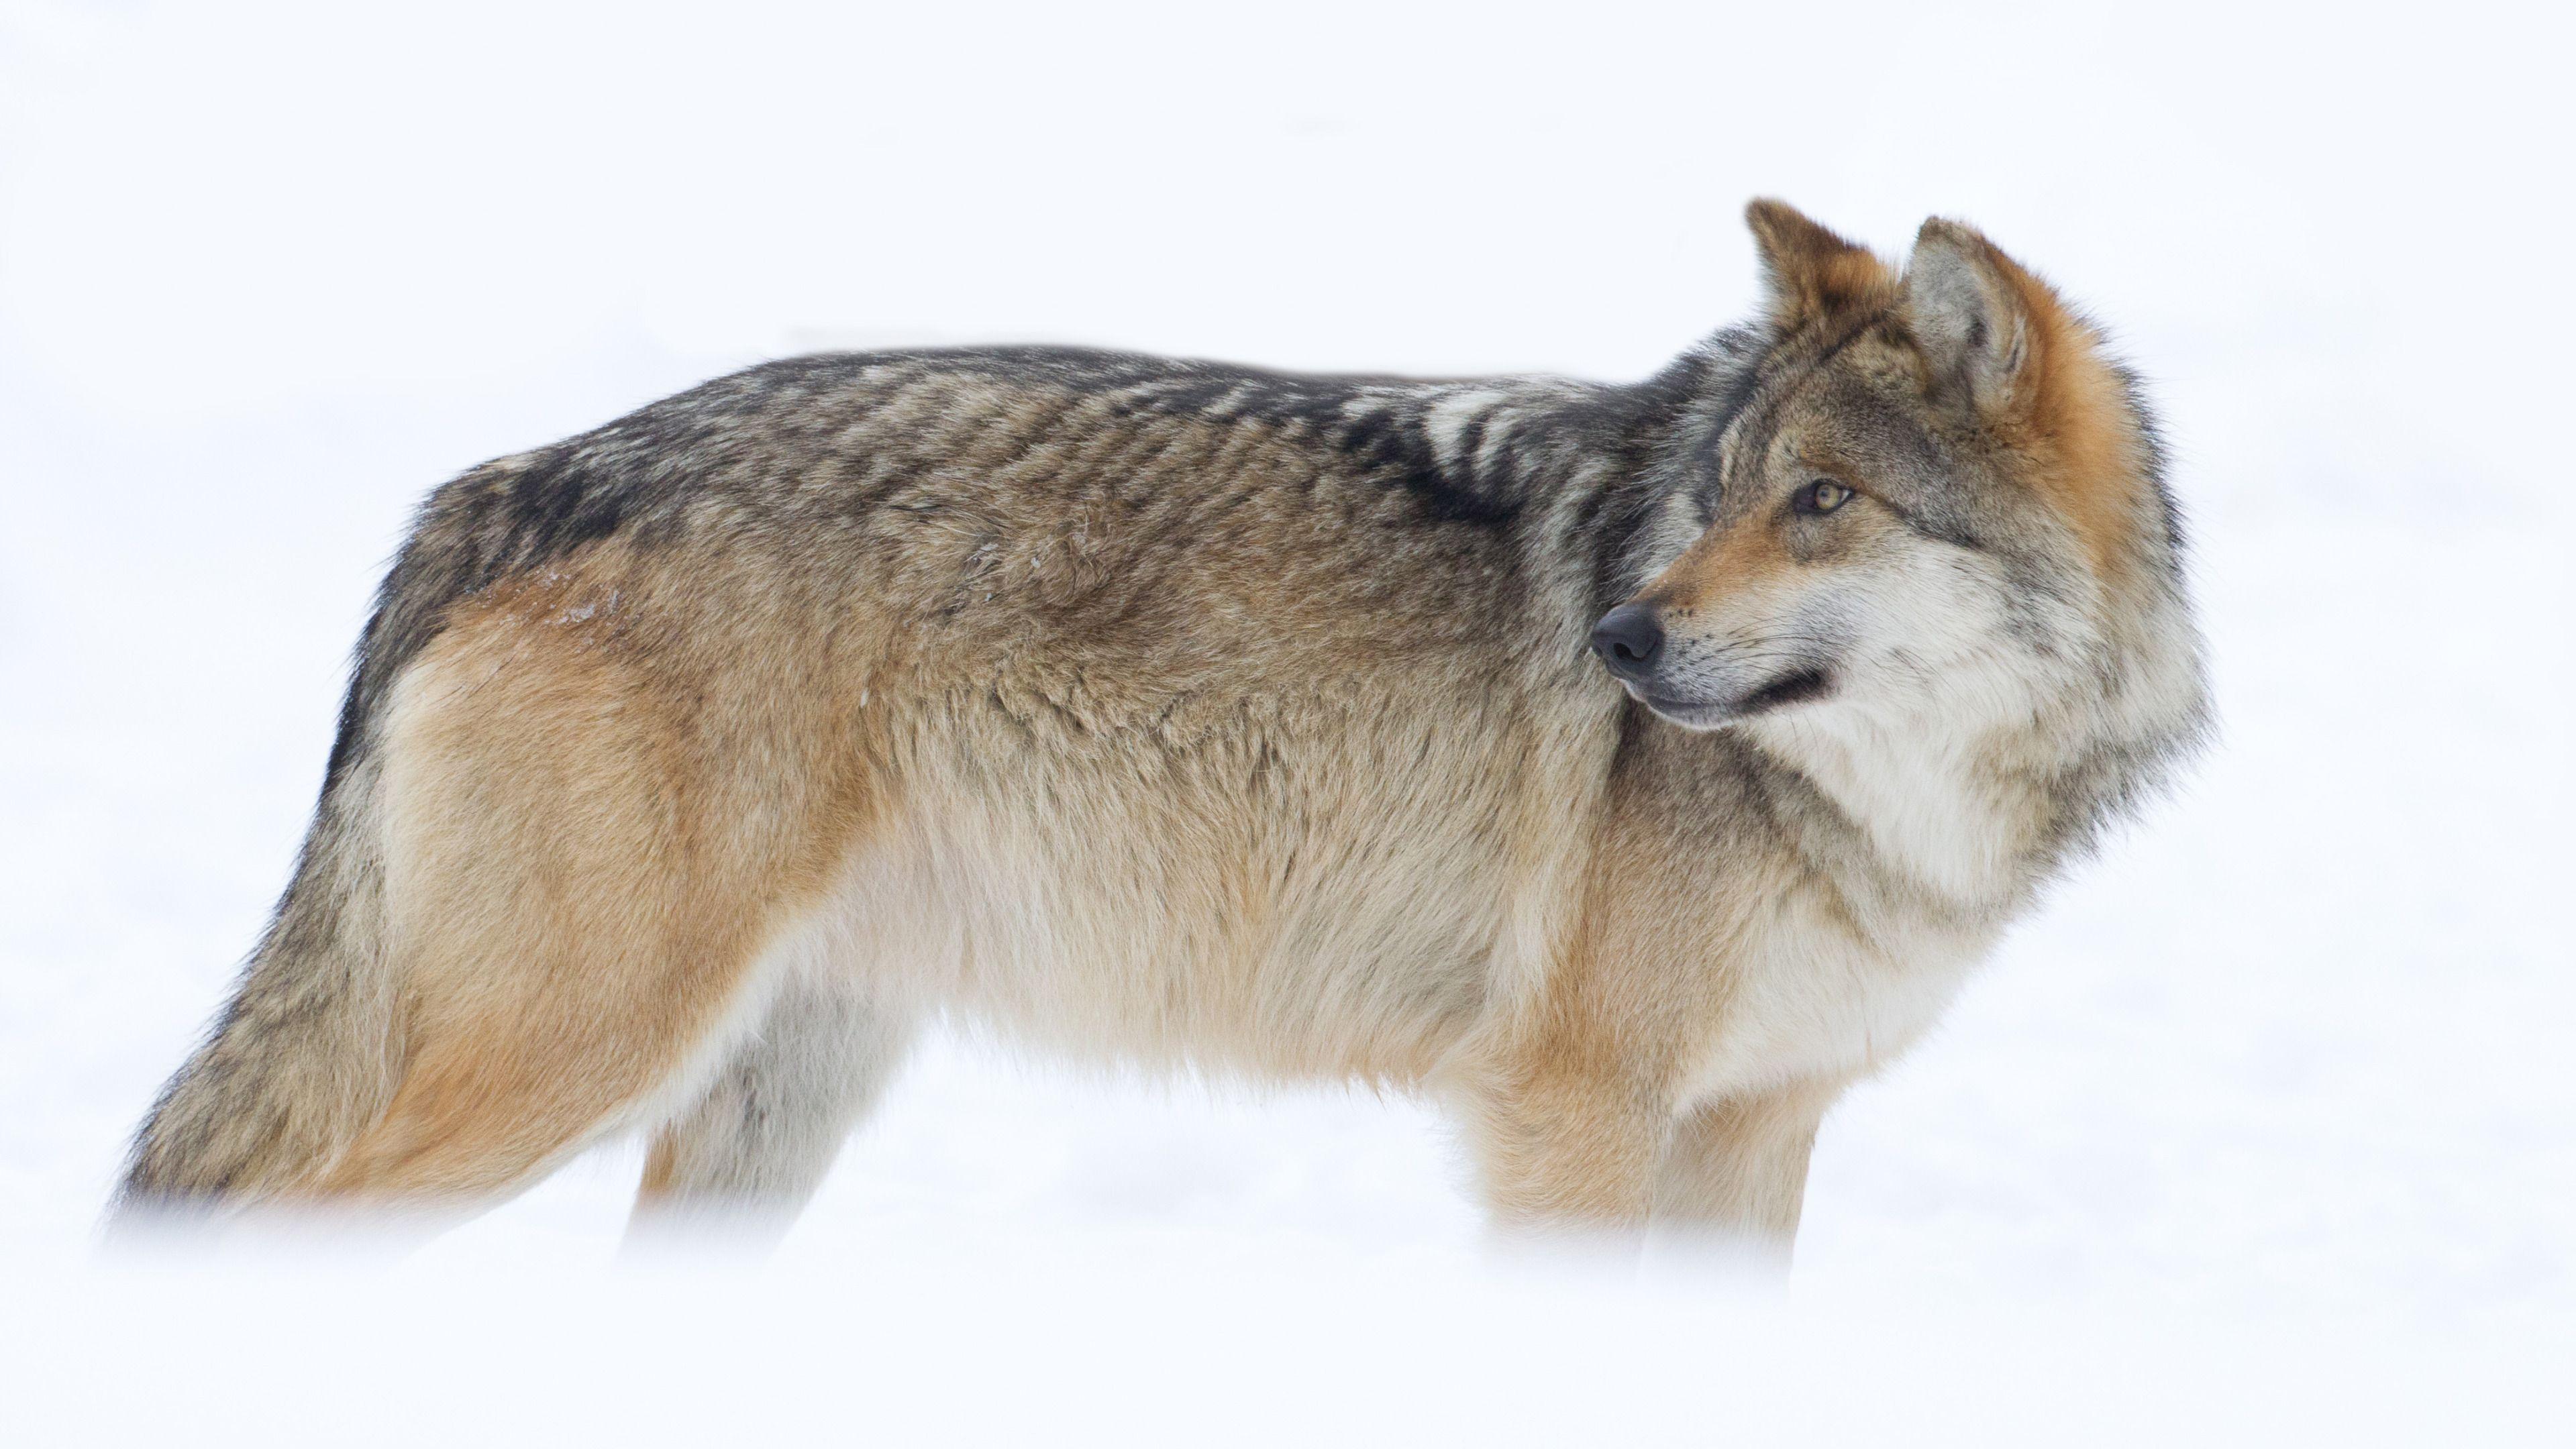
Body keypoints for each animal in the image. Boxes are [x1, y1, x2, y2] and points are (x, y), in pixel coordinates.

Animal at [116, 201, 2207, 1257]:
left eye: (1817, 504)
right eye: (1713, 495)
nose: (1611, 635)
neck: (1899, 809)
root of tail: (504, 485)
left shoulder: (1752, 1138)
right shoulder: (1574, 1116)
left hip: (767, 1100)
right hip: (572, 1064)